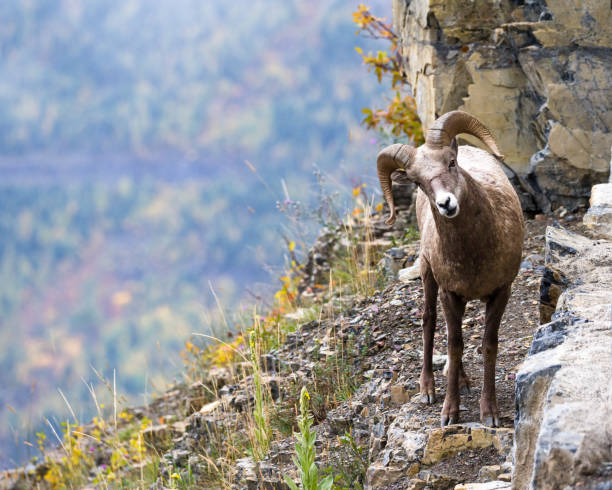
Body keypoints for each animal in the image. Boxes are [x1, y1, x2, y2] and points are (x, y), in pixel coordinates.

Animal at [376, 110, 524, 424]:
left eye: (451, 162)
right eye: (418, 181)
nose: (446, 204)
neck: (475, 254)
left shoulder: (501, 291)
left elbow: (488, 344)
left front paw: (489, 413)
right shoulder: (449, 293)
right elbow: (454, 348)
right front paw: (449, 413)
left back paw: (466, 382)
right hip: (428, 276)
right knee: (430, 321)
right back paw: (428, 389)